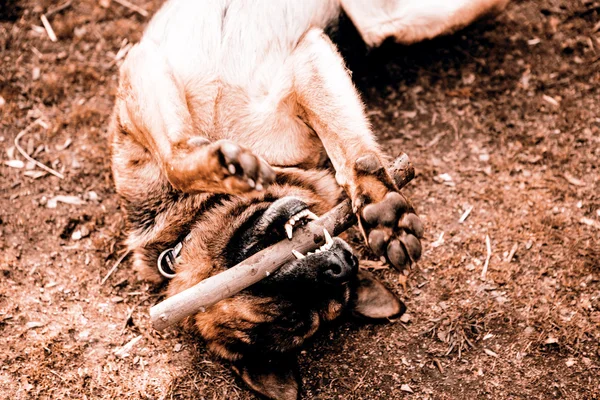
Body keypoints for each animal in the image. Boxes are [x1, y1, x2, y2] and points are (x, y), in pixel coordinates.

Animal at [110, 1, 508, 398]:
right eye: (291, 313)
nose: (344, 264)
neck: (189, 224)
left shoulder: (300, 67)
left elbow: (176, 157)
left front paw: (381, 207)